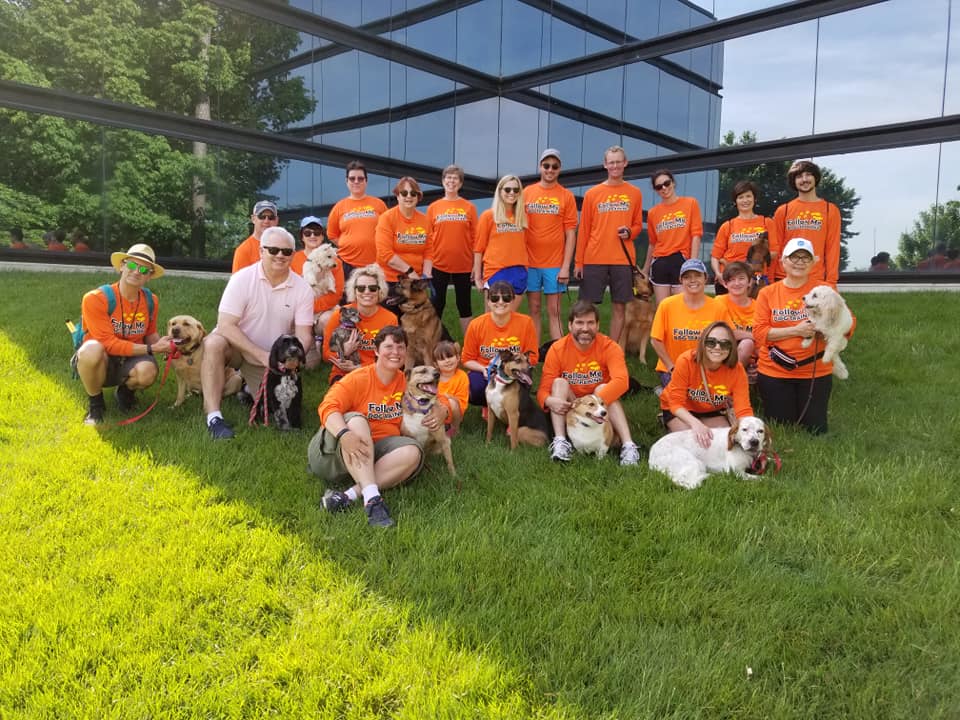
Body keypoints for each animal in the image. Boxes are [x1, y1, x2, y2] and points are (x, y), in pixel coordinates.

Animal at [644, 416, 772, 490]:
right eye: (744, 429)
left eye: (760, 431)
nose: (754, 442)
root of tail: (651, 457)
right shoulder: (737, 472)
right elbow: (760, 478)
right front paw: (771, 480)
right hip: (694, 462)